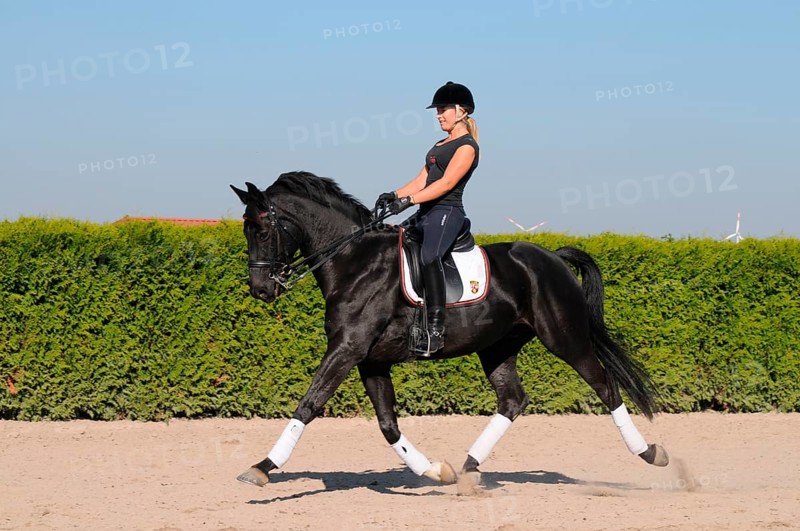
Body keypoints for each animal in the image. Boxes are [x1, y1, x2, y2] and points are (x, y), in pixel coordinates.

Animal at [230, 171, 669, 488]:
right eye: (246, 230)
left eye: (262, 230)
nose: (261, 289)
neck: (354, 260)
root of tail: (553, 257)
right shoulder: (370, 360)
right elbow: (388, 424)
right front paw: (434, 471)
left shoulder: (347, 349)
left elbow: (309, 404)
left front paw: (261, 467)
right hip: (497, 346)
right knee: (512, 399)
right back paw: (470, 465)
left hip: (565, 338)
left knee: (606, 386)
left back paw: (651, 454)